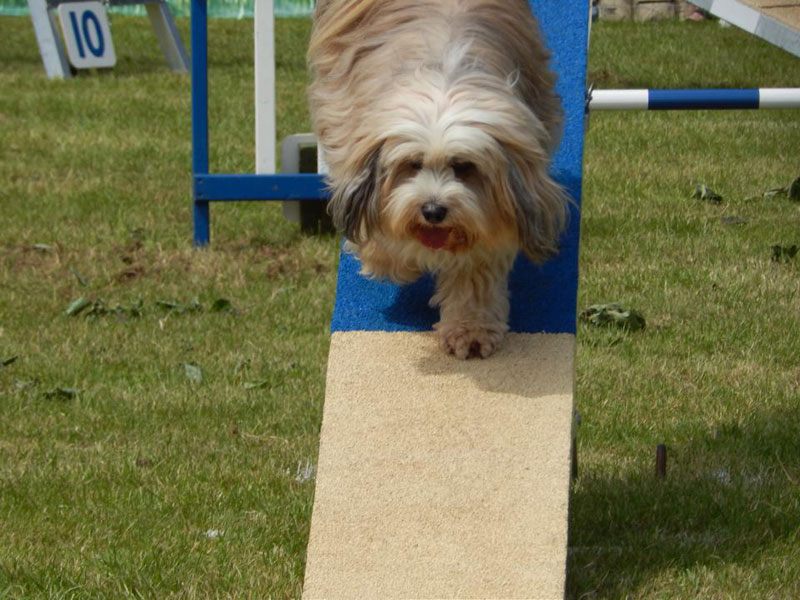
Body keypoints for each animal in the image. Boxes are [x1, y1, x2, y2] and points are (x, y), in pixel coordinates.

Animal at [310, 0, 564, 356]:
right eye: (412, 164)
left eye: (464, 167)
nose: (432, 211)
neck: (444, 76)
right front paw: (392, 259)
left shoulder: (491, 215)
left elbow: (475, 270)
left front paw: (470, 330)